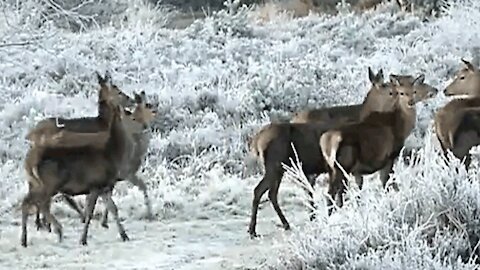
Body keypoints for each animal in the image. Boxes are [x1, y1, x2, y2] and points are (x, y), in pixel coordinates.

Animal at [21, 73, 135, 246]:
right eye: (118, 90)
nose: (132, 100)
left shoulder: (103, 185)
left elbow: (113, 208)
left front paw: (123, 235)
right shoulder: (96, 184)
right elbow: (90, 211)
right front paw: (84, 237)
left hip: (38, 182)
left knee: (29, 201)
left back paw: (30, 235)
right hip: (50, 183)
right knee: (40, 203)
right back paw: (55, 229)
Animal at [244, 67, 404, 238]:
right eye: (389, 90)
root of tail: (256, 141)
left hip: (280, 168)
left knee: (272, 193)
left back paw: (286, 223)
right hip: (274, 165)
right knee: (260, 191)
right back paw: (253, 229)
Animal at [320, 74, 422, 215]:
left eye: (414, 91)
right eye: (401, 92)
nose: (410, 102)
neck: (399, 126)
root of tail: (326, 143)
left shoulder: (358, 171)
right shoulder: (389, 157)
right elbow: (388, 183)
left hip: (332, 169)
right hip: (342, 167)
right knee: (331, 193)